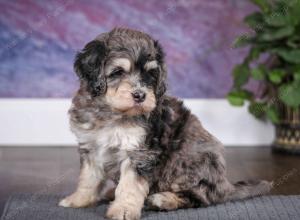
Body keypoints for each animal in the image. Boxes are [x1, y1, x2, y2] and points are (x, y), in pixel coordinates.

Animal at [59, 27, 272, 220]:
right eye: (117, 72)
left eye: (151, 73)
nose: (140, 95)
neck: (112, 113)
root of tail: (225, 186)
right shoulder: (90, 147)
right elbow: (88, 178)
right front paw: (78, 200)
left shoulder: (139, 153)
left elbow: (130, 184)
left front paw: (124, 210)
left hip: (186, 163)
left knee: (199, 197)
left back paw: (162, 199)